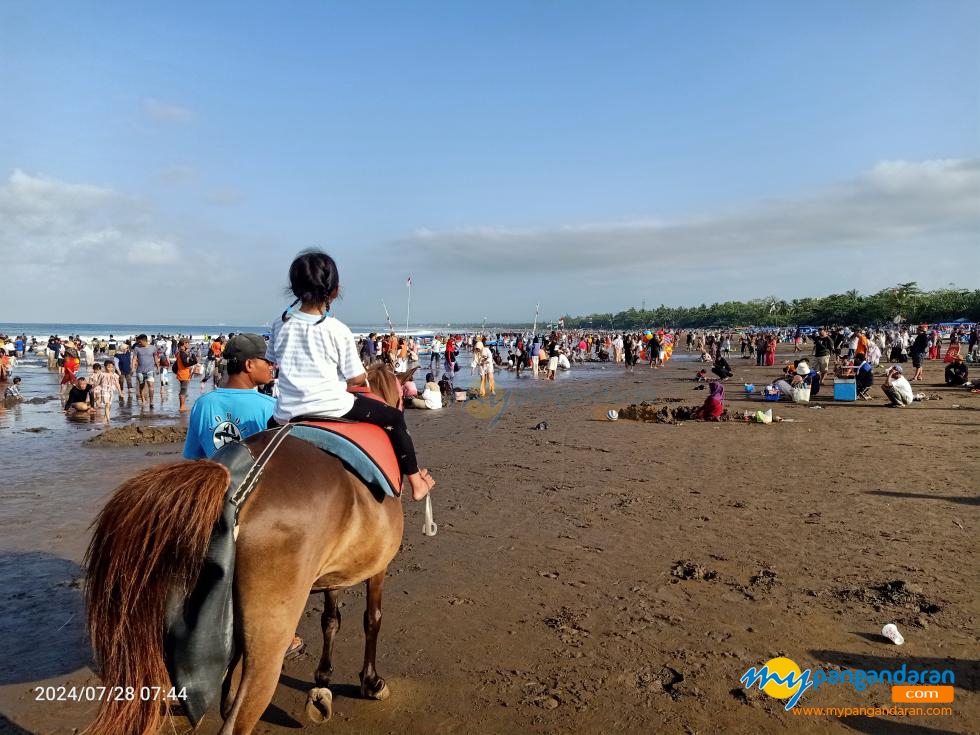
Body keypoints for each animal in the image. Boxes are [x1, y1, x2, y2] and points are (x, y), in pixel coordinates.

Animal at [85, 364, 418, 735]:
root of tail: (234, 480)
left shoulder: (334, 572)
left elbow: (331, 620)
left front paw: (323, 681)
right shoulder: (377, 567)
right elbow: (372, 619)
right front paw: (370, 682)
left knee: (228, 696)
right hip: (268, 639)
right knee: (239, 714)